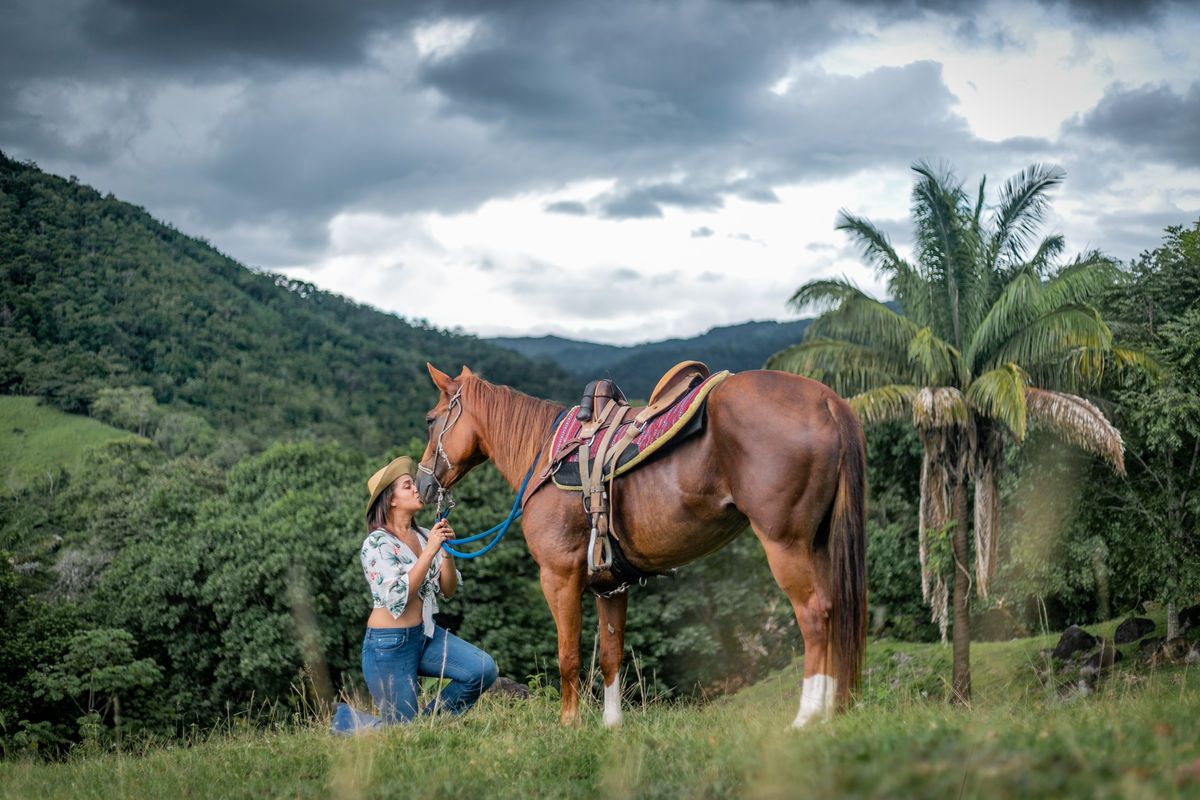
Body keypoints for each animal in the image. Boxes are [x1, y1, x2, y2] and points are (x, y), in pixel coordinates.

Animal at [412, 367, 864, 729]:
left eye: (431, 420)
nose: (421, 484)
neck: (545, 457)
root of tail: (825, 399)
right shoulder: (611, 586)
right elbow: (611, 657)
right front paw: (611, 725)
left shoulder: (558, 576)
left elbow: (568, 656)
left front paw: (569, 724)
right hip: (819, 544)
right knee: (837, 611)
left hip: (785, 544)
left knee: (814, 616)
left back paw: (808, 717)